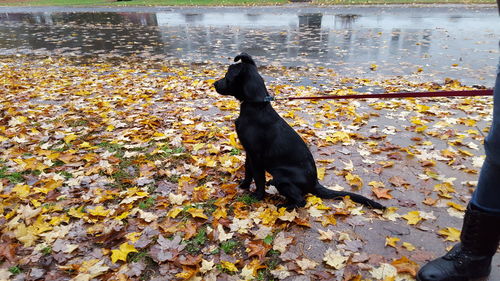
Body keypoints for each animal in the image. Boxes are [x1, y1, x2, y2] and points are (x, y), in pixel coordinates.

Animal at [214, 53, 382, 210]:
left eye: (227, 76)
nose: (214, 83)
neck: (256, 105)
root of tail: (314, 183)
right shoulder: (249, 153)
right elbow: (248, 172)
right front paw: (243, 186)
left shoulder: (256, 156)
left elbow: (259, 178)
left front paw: (257, 197)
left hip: (282, 177)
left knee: (301, 201)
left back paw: (283, 207)